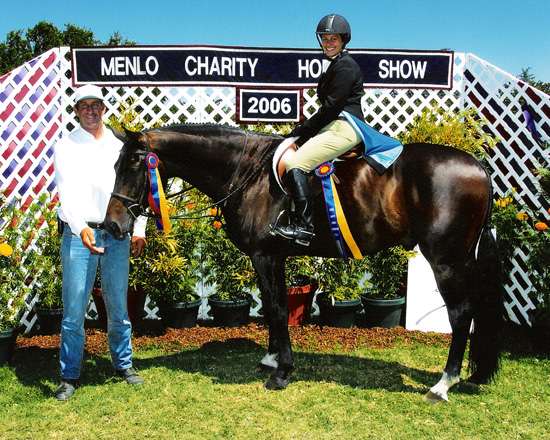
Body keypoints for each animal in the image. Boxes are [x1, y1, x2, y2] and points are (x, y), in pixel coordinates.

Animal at [103, 124, 504, 402]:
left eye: (134, 164)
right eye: (115, 164)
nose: (112, 224)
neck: (247, 173)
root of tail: (478, 166)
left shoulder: (265, 256)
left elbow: (279, 308)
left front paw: (281, 371)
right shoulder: (271, 258)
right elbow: (272, 306)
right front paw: (271, 358)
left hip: (446, 261)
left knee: (461, 314)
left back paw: (442, 384)